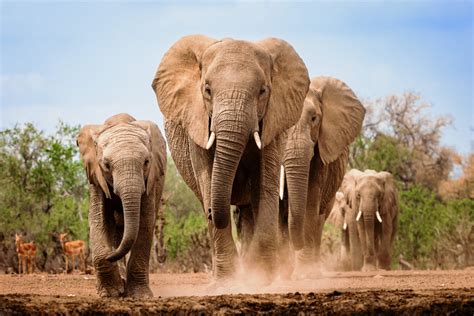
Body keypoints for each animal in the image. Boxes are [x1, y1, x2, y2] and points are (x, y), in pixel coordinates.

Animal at [77, 114, 167, 298]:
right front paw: (110, 293)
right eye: (106, 165)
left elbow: (145, 223)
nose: (112, 254)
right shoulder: (97, 179)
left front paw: (140, 296)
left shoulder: (150, 181)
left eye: (146, 162)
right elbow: (98, 220)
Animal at [150, 35, 310, 284]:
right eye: (207, 90)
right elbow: (207, 178)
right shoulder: (197, 122)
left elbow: (266, 183)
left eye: (263, 91)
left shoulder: (274, 121)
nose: (210, 212)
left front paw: (260, 280)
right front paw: (226, 284)